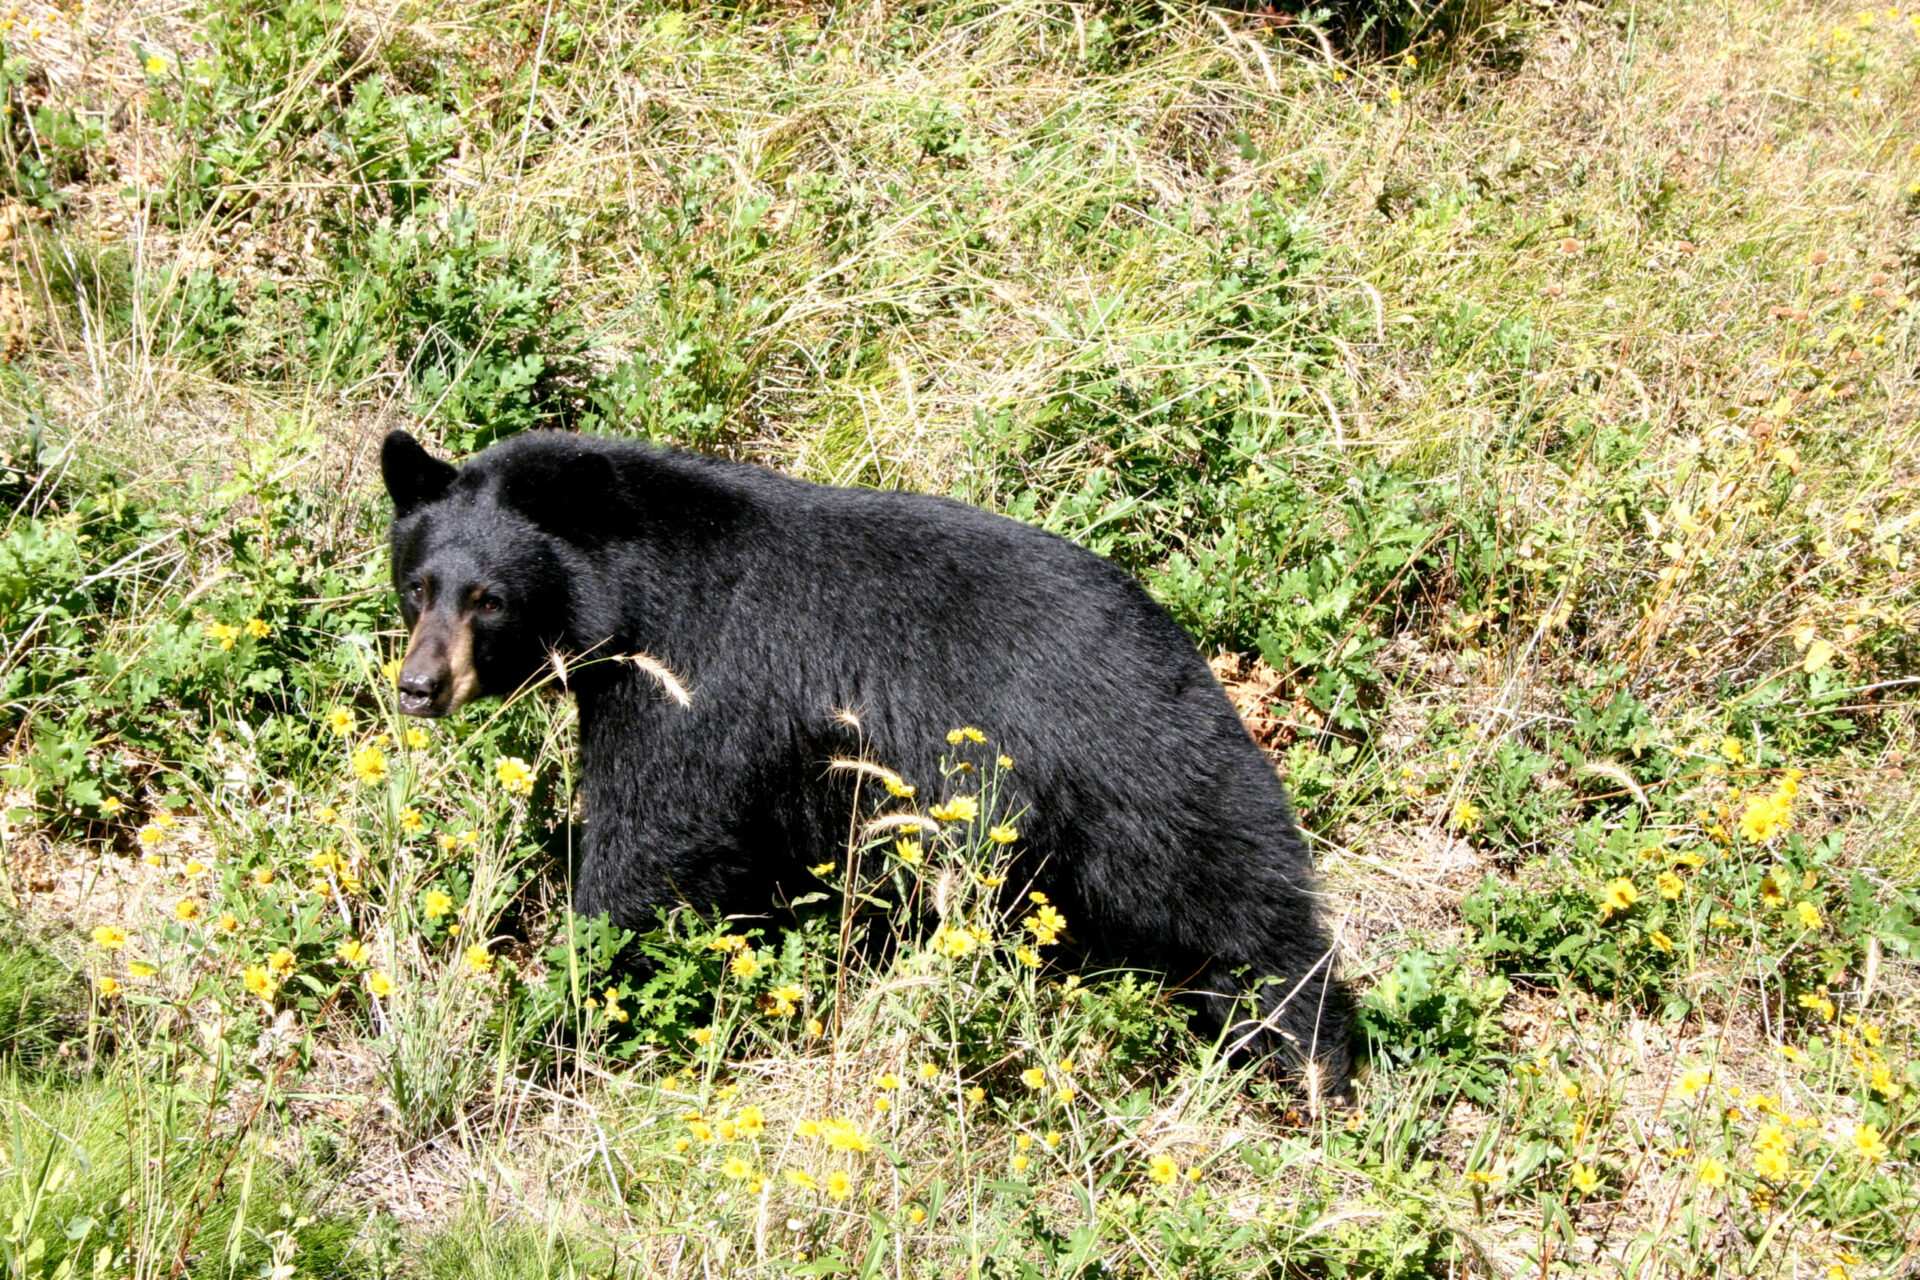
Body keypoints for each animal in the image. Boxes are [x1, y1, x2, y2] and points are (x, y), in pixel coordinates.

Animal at [382, 429, 1359, 1090]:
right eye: (418, 587)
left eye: (490, 599)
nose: (419, 685)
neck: (633, 595)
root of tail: (1182, 643)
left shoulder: (697, 686)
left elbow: (653, 837)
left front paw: (563, 994)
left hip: (1142, 776)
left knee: (1240, 903)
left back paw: (1308, 1055)